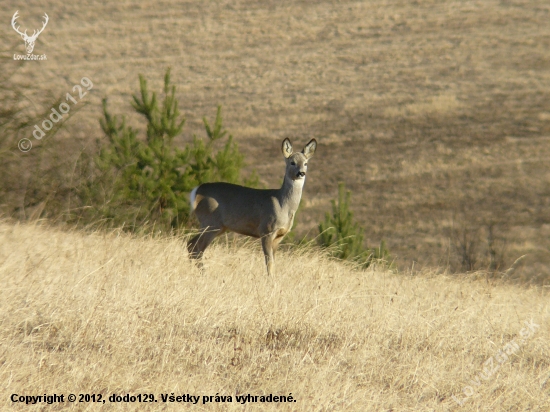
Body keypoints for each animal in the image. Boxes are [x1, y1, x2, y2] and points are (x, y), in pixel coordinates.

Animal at [190, 137, 320, 276]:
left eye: (305, 163)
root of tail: (197, 191)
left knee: (191, 244)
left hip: (217, 226)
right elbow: (269, 262)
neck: (283, 205)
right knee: (197, 248)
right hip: (210, 222)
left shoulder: (280, 235)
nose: (301, 173)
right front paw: (270, 279)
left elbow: (274, 262)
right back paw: (204, 274)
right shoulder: (266, 230)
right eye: (292, 162)